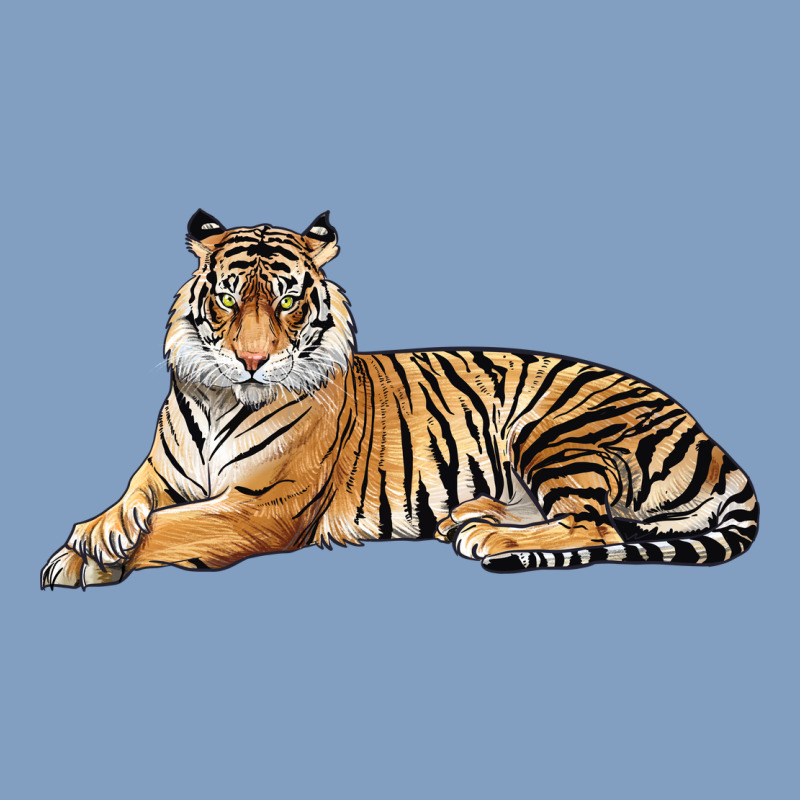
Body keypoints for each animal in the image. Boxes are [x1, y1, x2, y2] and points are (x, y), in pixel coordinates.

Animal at [41, 209, 759, 589]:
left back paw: (487, 538)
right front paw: (95, 536)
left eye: (287, 299)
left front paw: (84, 559)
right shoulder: (161, 474)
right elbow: (132, 502)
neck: (220, 400)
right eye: (226, 298)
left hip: (555, 431)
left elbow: (173, 527)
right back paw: (468, 517)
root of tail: (711, 439)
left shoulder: (260, 508)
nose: (252, 360)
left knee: (595, 524)